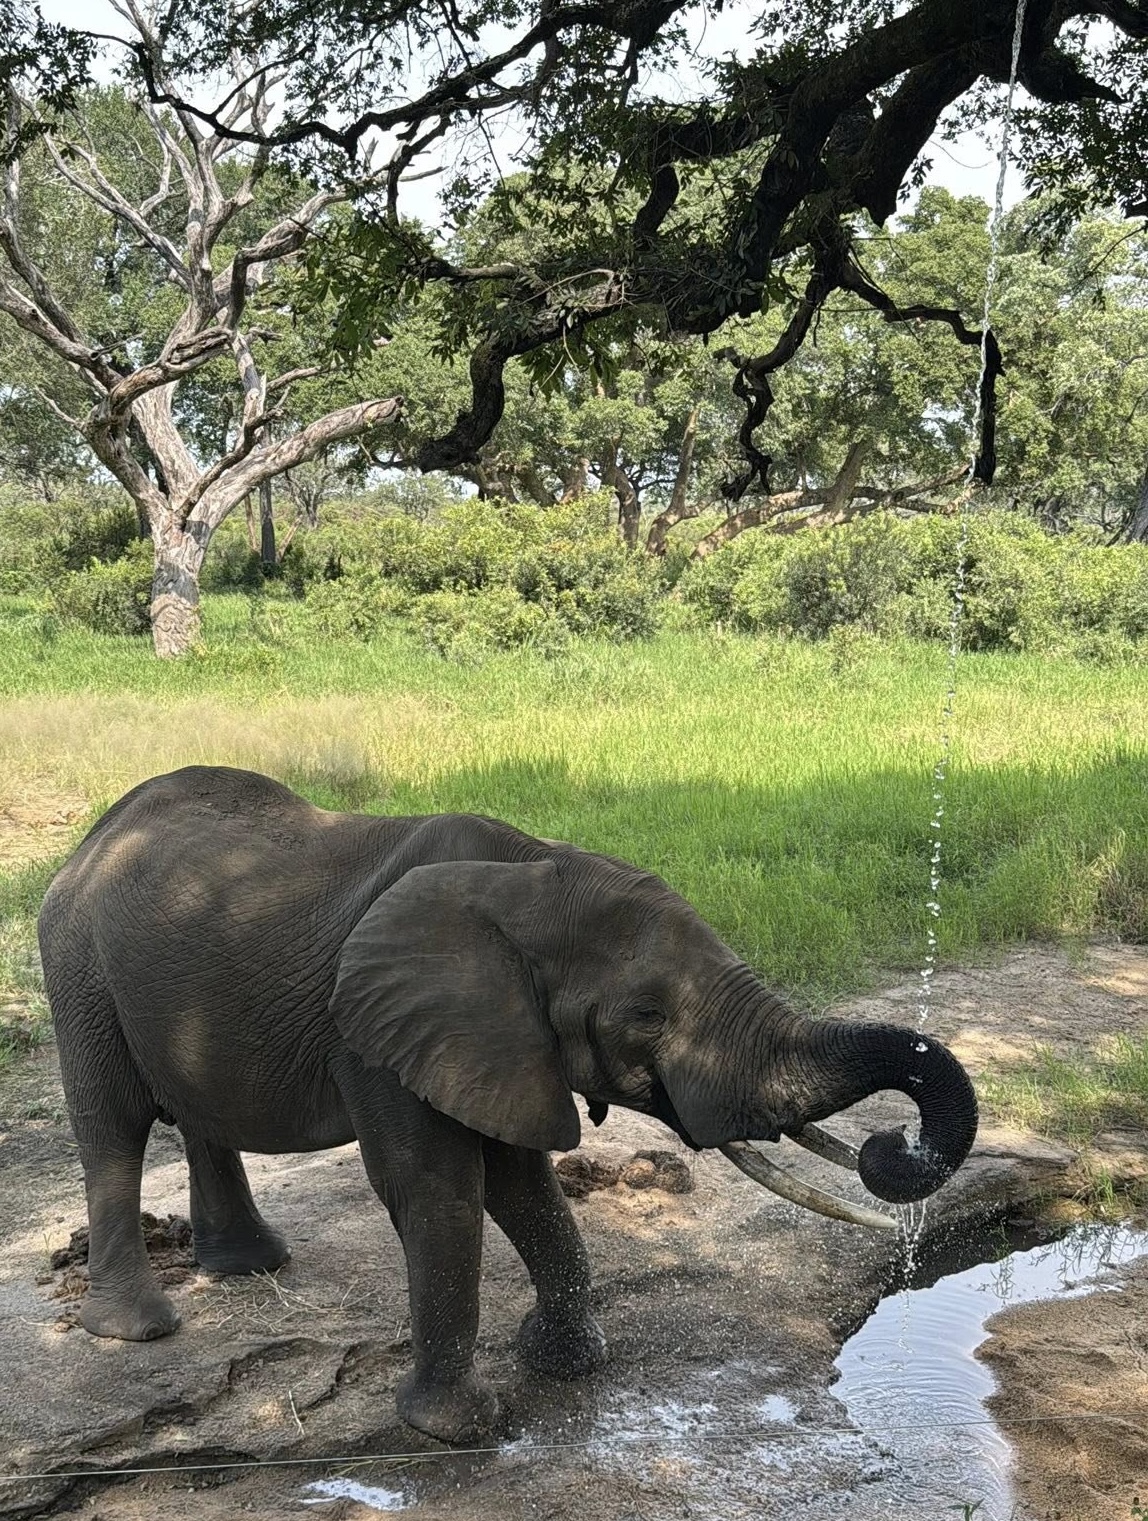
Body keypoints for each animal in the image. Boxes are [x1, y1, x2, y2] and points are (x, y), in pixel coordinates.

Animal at [38, 765, 977, 1442]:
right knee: (113, 1127)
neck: (529, 872)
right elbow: (437, 1185)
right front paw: (459, 1429)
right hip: (77, 964)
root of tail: (89, 838)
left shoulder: (497, 1040)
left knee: (197, 1117)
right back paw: (136, 1330)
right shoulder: (376, 1032)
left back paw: (250, 1268)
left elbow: (521, 1181)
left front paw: (566, 1363)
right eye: (646, 1015)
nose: (891, 1143)